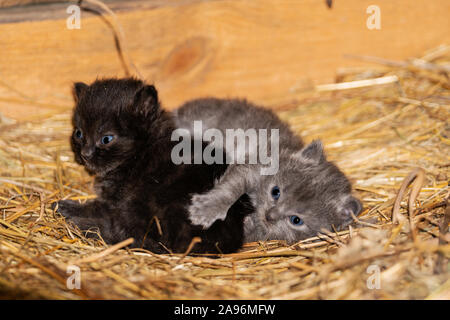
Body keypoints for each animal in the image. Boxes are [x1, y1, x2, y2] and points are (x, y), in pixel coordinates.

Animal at [55, 76, 253, 254]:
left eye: (106, 138)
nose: (85, 154)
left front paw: (67, 208)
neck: (143, 149)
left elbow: (99, 208)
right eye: (79, 133)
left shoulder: (118, 200)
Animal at [173, 97, 362, 242]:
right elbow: (230, 188)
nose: (269, 216)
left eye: (296, 220)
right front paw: (207, 209)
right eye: (275, 192)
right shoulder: (251, 167)